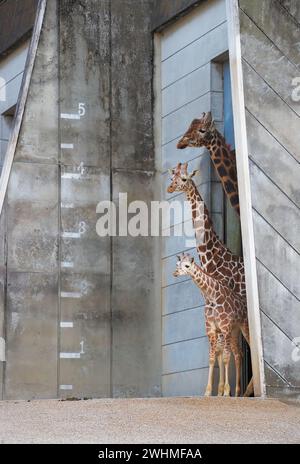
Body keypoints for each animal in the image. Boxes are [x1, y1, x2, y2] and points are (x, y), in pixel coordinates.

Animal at [173, 252, 251, 396]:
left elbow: (225, 358)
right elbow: (212, 358)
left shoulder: (225, 328)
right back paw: (238, 392)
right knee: (238, 354)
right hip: (234, 331)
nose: (175, 272)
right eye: (177, 264)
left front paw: (226, 392)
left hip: (244, 327)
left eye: (187, 266)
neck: (212, 296)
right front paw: (208, 392)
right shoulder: (211, 329)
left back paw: (246, 390)